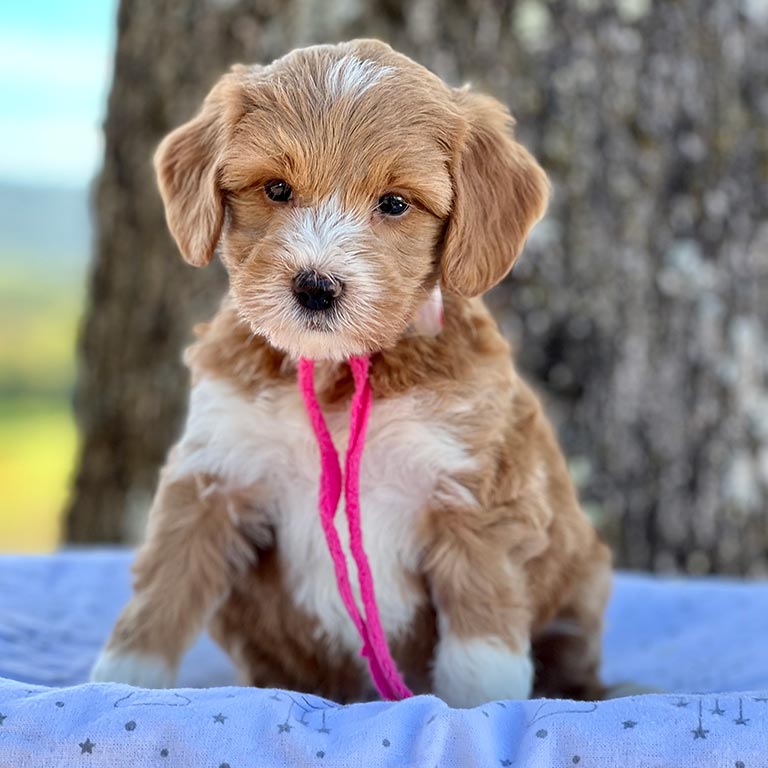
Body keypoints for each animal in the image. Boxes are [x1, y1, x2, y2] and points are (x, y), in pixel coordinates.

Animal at [93, 39, 612, 704]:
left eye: (394, 203)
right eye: (277, 189)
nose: (316, 287)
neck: (338, 372)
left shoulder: (476, 497)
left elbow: (481, 640)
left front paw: (478, 710)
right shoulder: (215, 473)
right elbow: (163, 592)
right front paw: (119, 684)